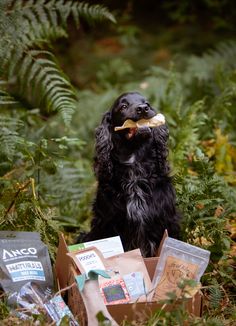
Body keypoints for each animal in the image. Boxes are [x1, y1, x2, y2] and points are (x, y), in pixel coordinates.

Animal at [82, 91, 180, 258]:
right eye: (123, 106)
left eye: (147, 103)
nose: (143, 108)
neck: (135, 169)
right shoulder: (107, 222)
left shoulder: (165, 220)